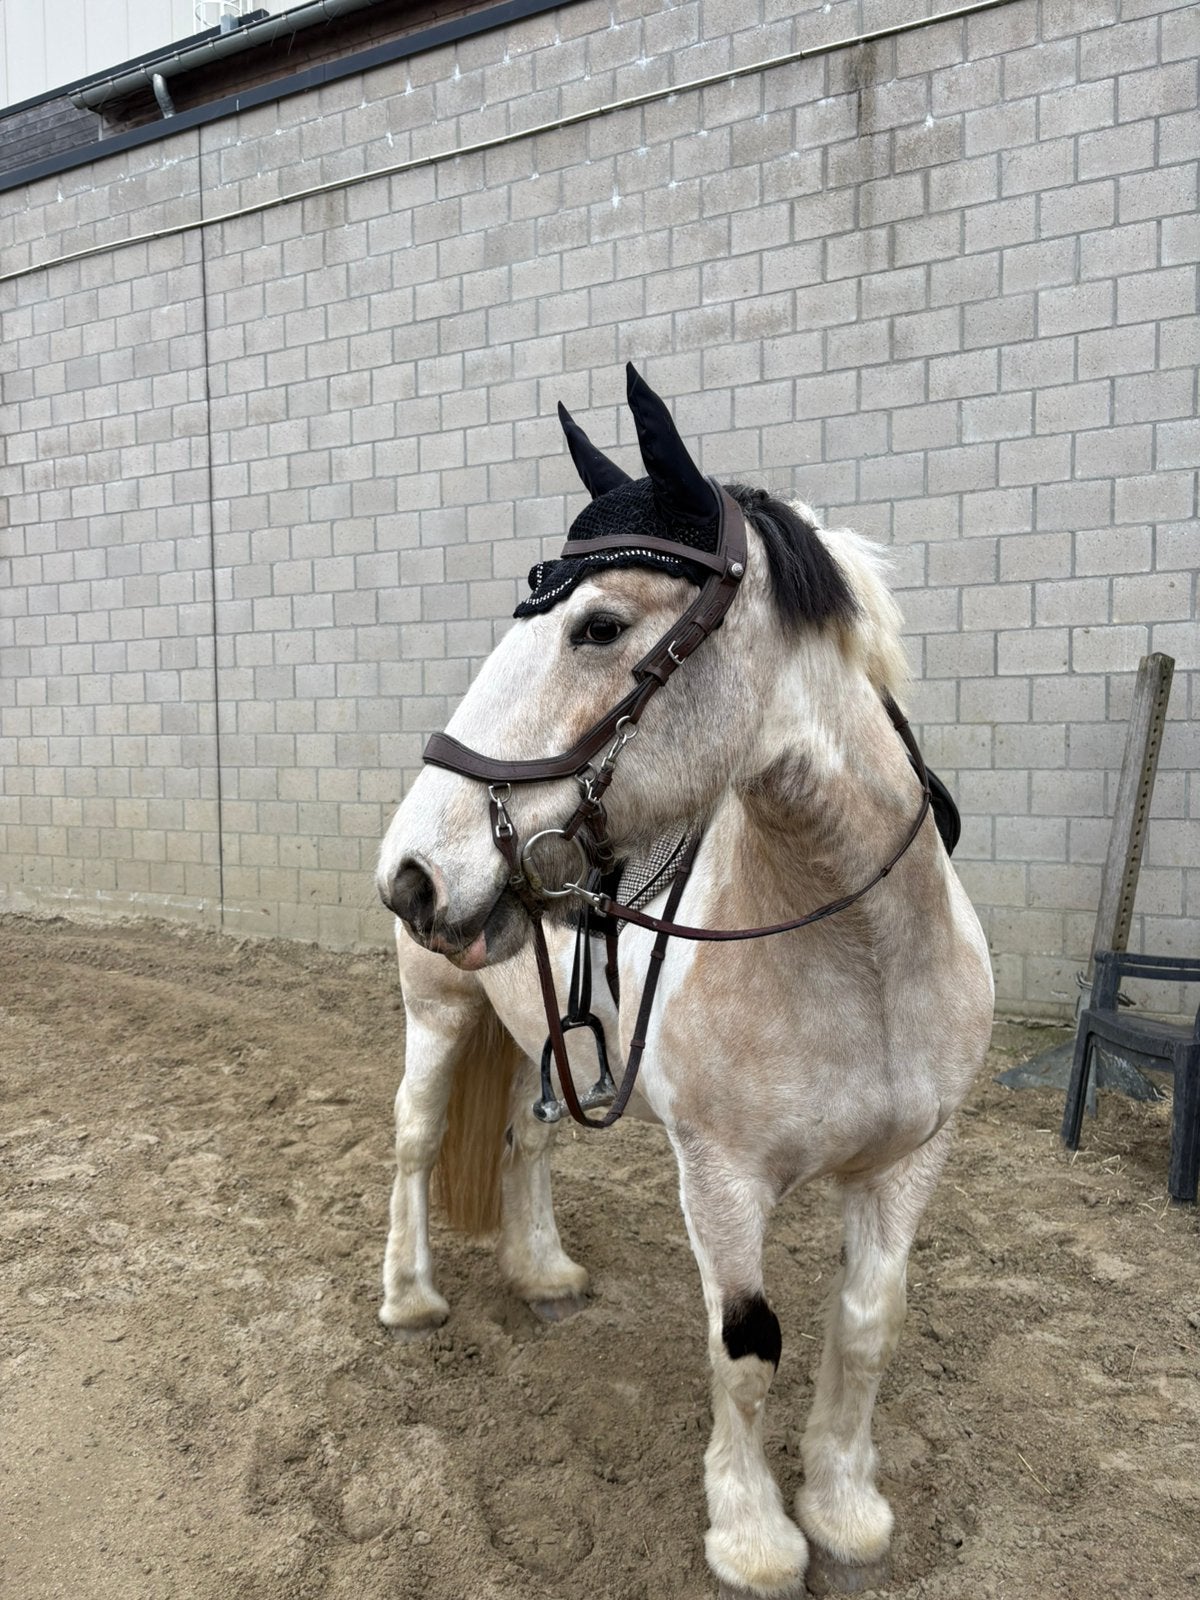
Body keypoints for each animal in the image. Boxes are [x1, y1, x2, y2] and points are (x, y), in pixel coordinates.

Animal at [375, 365, 994, 1598]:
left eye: (600, 624)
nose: (412, 872)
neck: (861, 960)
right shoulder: (722, 1178)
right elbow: (746, 1349)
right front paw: (752, 1535)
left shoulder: (911, 1163)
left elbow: (868, 1324)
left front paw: (845, 1511)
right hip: (441, 1009)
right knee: (417, 1137)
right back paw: (409, 1295)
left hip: (539, 1034)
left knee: (527, 1140)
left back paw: (544, 1272)